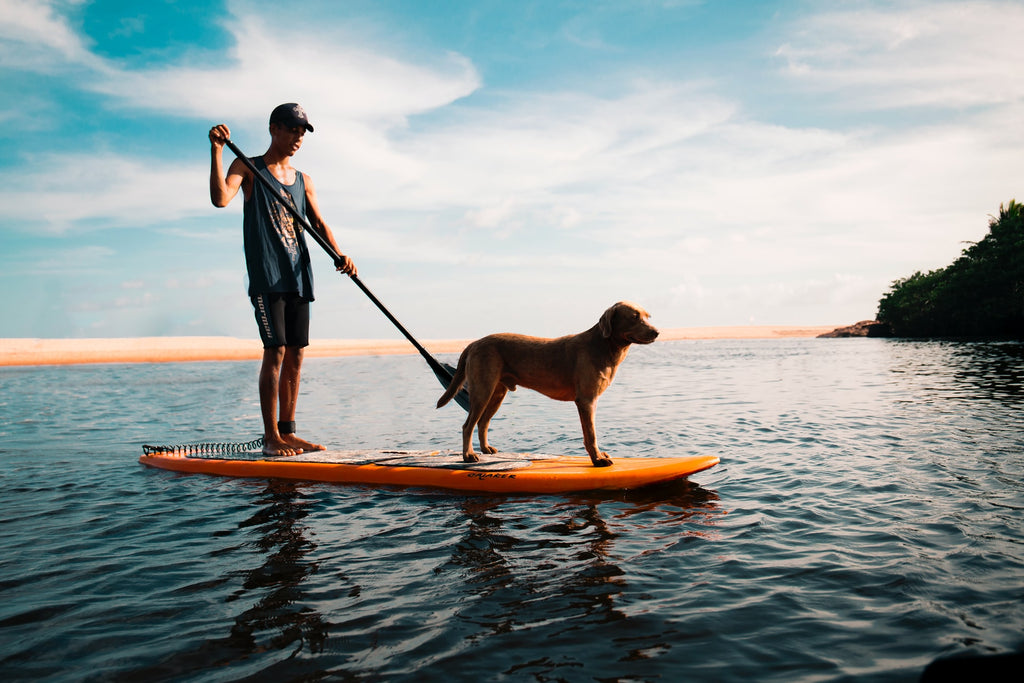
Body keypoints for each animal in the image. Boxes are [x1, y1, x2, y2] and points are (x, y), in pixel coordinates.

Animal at [436, 301, 659, 466]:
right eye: (634, 317)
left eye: (647, 316)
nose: (657, 332)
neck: (605, 346)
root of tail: (474, 343)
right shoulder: (587, 400)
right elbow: (591, 434)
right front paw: (597, 460)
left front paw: (599, 456)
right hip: (483, 389)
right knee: (468, 425)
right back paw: (468, 455)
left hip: (497, 392)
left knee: (483, 422)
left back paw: (486, 449)